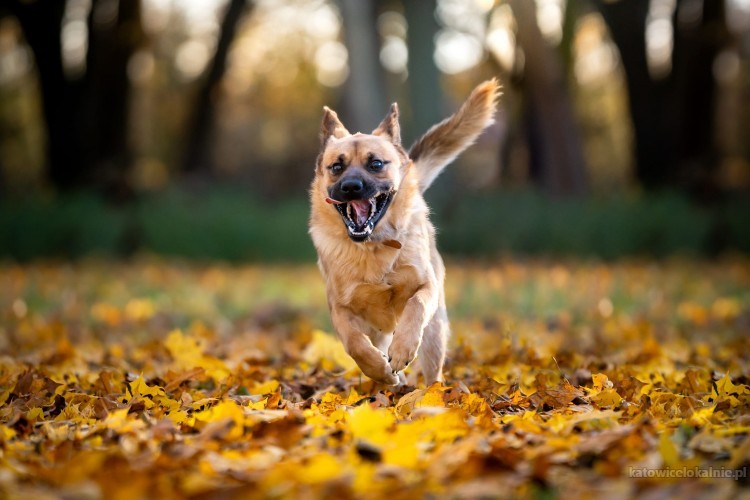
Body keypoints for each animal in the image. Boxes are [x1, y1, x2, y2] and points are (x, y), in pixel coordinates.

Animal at [308, 80, 502, 384]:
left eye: (375, 164)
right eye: (336, 167)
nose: (351, 187)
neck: (374, 246)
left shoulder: (426, 286)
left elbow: (416, 306)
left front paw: (402, 351)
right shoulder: (340, 308)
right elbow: (354, 343)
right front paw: (380, 370)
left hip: (435, 334)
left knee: (433, 371)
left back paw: (431, 391)